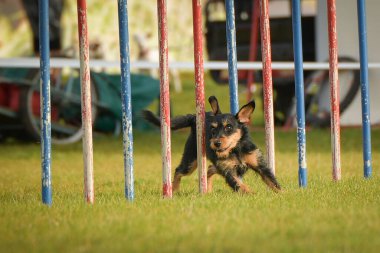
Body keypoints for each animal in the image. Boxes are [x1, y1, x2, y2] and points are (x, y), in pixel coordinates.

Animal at [144, 95, 280, 194]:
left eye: (229, 127)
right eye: (213, 129)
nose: (216, 143)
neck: (235, 150)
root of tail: (194, 117)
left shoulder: (259, 164)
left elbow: (272, 181)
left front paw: (282, 194)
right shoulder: (228, 170)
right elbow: (239, 184)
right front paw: (251, 194)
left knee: (209, 169)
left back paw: (207, 190)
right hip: (191, 160)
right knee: (179, 170)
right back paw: (174, 190)